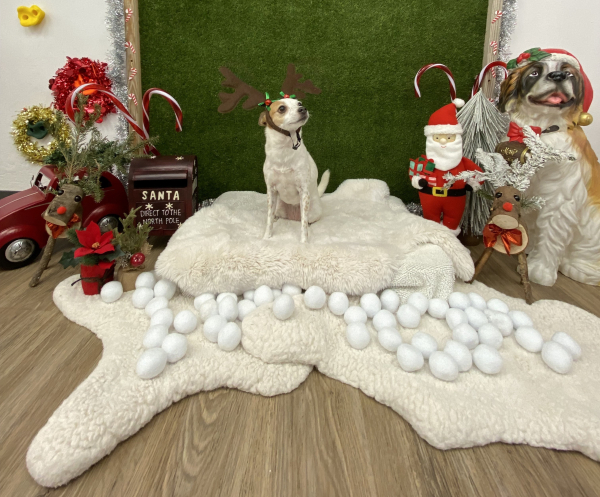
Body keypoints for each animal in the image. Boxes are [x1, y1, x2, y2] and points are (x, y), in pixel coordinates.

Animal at [260, 97, 330, 242]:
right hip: (279, 206)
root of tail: (292, 217)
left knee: (306, 220)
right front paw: (266, 237)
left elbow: (304, 226)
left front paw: (304, 242)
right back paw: (276, 217)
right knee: (275, 213)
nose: (303, 109)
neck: (283, 151)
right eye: (282, 108)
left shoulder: (303, 191)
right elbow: (268, 219)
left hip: (314, 212)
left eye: (299, 103)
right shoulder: (271, 190)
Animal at [496, 49, 600, 286]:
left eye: (569, 74)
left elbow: (553, 232)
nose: (558, 76)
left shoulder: (562, 198)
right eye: (534, 72)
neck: (539, 132)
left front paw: (540, 270)